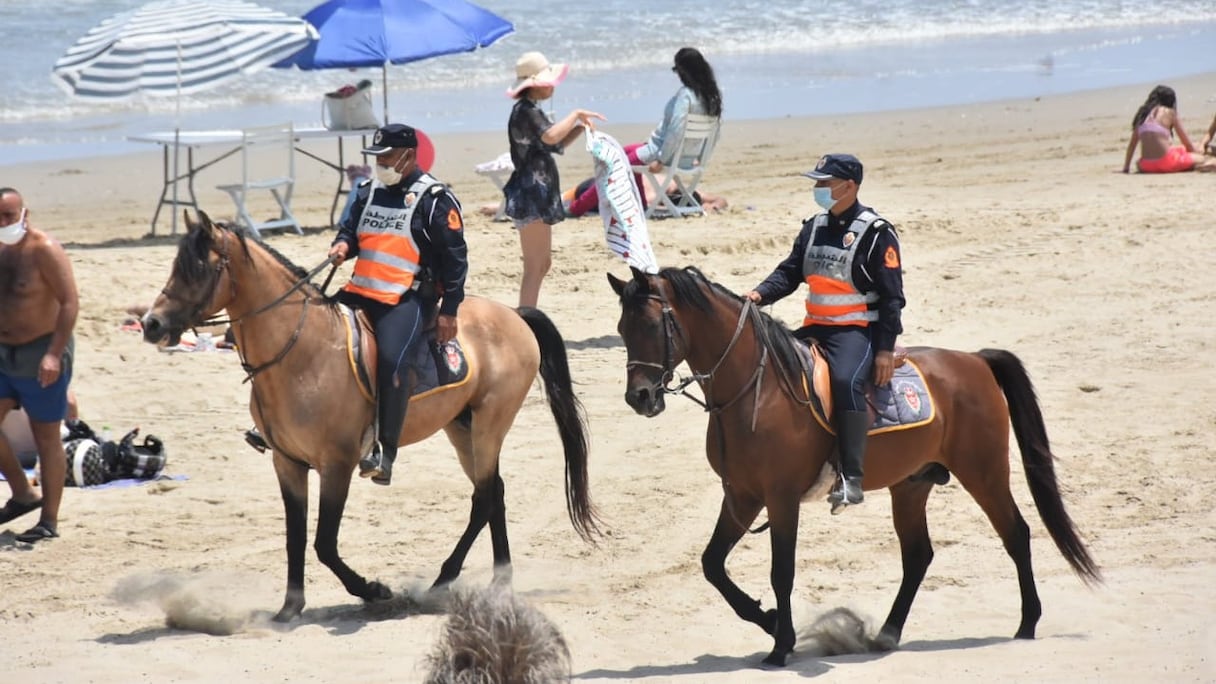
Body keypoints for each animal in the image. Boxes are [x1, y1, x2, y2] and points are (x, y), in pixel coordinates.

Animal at [142, 211, 598, 618]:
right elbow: (295, 537)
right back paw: (498, 582)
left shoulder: (338, 463)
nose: (151, 324)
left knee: (484, 497)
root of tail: (514, 315)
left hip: (490, 424)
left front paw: (374, 590)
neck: (302, 353)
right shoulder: (287, 463)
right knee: (494, 493)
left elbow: (324, 543)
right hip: (461, 427)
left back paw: (443, 581)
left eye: (198, 269)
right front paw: (290, 608)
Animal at [608, 265, 1104, 666]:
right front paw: (770, 621)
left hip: (984, 473)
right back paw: (887, 634)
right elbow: (712, 564)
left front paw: (780, 646)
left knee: (1016, 534)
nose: (640, 397)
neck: (757, 388)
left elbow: (781, 572)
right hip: (912, 485)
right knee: (918, 555)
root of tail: (975, 361)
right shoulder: (742, 496)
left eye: (651, 324)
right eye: (621, 328)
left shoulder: (780, 499)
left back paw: (1027, 623)